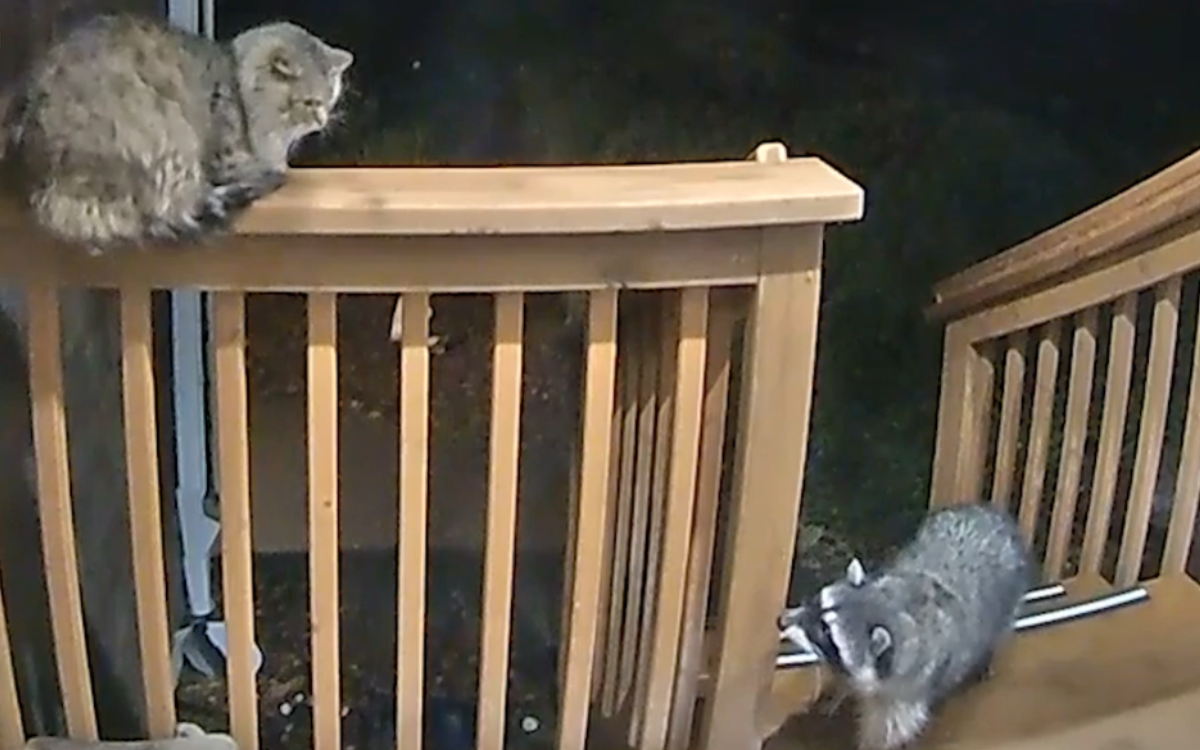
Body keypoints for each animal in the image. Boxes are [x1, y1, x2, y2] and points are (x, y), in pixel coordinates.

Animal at [0, 13, 353, 253]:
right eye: (309, 102)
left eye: (330, 99)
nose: (323, 120)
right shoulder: (230, 156)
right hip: (167, 138)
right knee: (173, 208)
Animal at [778, 503, 1034, 750]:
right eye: (817, 602)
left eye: (825, 631)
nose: (781, 621)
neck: (892, 607)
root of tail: (997, 516)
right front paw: (839, 693)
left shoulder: (912, 684)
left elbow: (891, 727)